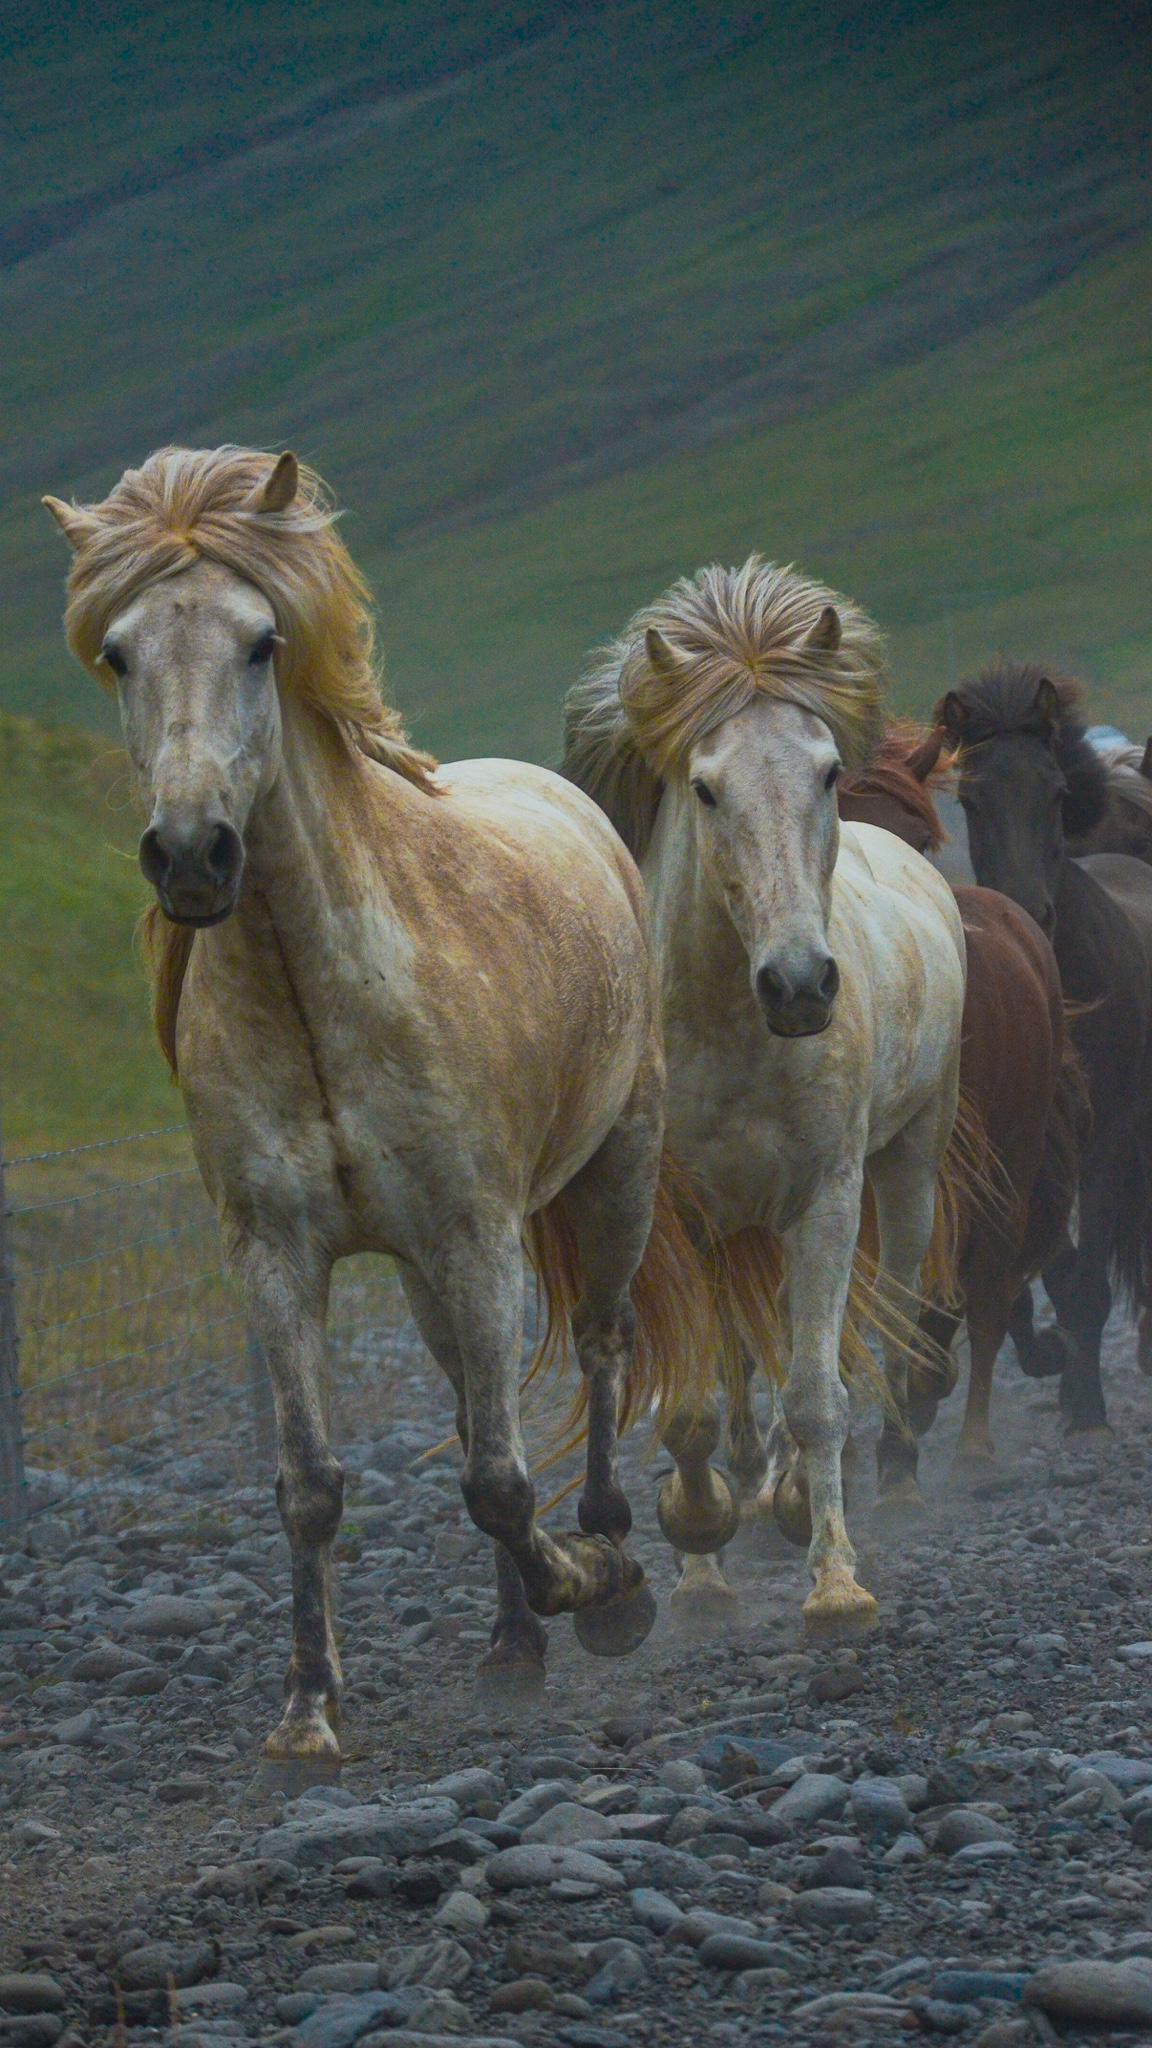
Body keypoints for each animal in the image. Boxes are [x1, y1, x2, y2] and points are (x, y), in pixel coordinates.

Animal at [42, 448, 709, 1761]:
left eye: (262, 640)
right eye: (121, 653)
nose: (190, 854)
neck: (325, 991)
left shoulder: (475, 1232)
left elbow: (501, 1478)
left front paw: (588, 1580)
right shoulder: (278, 1251)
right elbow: (316, 1483)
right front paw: (309, 1708)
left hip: (613, 1173)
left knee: (600, 1353)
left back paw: (608, 1565)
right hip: (421, 1269)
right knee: (469, 1403)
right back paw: (513, 1640)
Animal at [561, 565, 963, 1630]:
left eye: (825, 771)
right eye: (705, 787)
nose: (799, 984)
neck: (726, 1032)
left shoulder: (823, 1197)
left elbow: (818, 1393)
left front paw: (836, 1583)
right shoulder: (672, 1218)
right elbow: (695, 1406)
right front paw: (700, 1552)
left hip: (907, 1166)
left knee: (882, 1317)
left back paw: (882, 1473)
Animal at [832, 729, 1082, 1466]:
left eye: (918, 838)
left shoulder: (953, 1173)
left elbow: (944, 1292)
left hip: (1013, 1162)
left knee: (991, 1291)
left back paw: (973, 1438)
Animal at [938, 667, 1152, 1425]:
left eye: (1055, 791)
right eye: (969, 799)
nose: (1028, 912)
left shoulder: (1110, 1138)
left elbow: (1085, 1279)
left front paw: (1084, 1407)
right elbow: (1048, 1264)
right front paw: (1051, 1357)